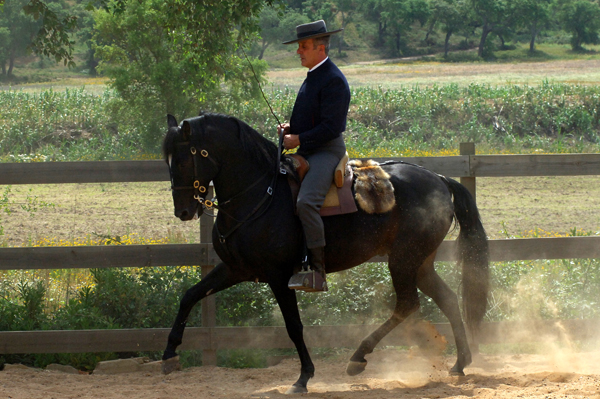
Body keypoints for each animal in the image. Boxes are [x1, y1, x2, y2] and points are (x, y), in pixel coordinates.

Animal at [162, 111, 490, 394]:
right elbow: (190, 296)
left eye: (184, 159)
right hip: (420, 263)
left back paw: (359, 356)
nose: (183, 211)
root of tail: (438, 179)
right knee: (447, 299)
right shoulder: (234, 269)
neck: (261, 194)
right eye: (167, 160)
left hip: (403, 260)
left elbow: (294, 326)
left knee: (408, 304)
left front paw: (304, 377)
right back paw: (460, 363)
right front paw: (169, 353)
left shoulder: (279, 277)